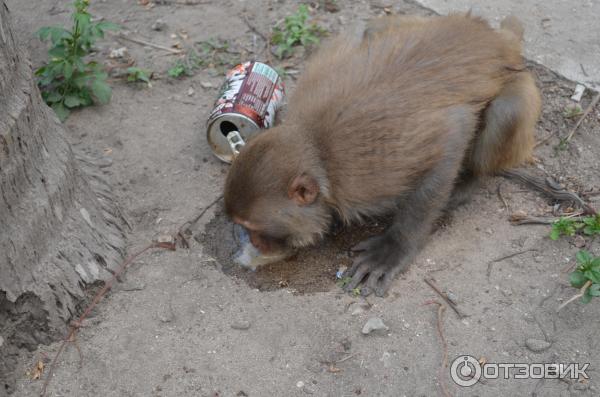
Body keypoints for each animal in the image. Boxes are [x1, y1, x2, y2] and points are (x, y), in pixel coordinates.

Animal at [225, 13, 544, 296]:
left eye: (255, 228)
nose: (255, 244)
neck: (318, 150)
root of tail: (498, 39)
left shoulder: (369, 175)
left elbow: (453, 135)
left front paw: (393, 247)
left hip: (519, 89)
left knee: (504, 113)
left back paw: (468, 183)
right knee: (372, 28)